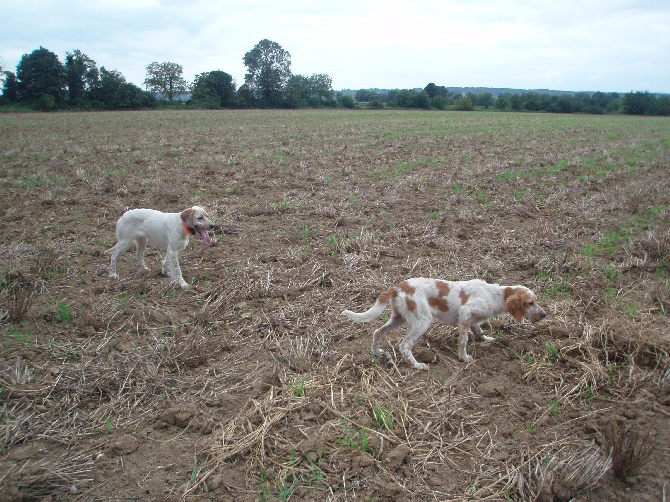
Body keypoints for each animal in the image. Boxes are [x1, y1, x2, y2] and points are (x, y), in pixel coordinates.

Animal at [344, 278, 548, 368]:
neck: (495, 295)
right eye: (530, 303)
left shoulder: (472, 320)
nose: (544, 315)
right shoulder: (465, 314)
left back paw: (378, 353)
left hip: (398, 318)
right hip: (422, 322)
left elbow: (478, 331)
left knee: (377, 332)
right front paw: (464, 357)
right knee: (404, 345)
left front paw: (486, 339)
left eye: (536, 301)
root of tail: (400, 286)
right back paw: (417, 365)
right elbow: (464, 340)